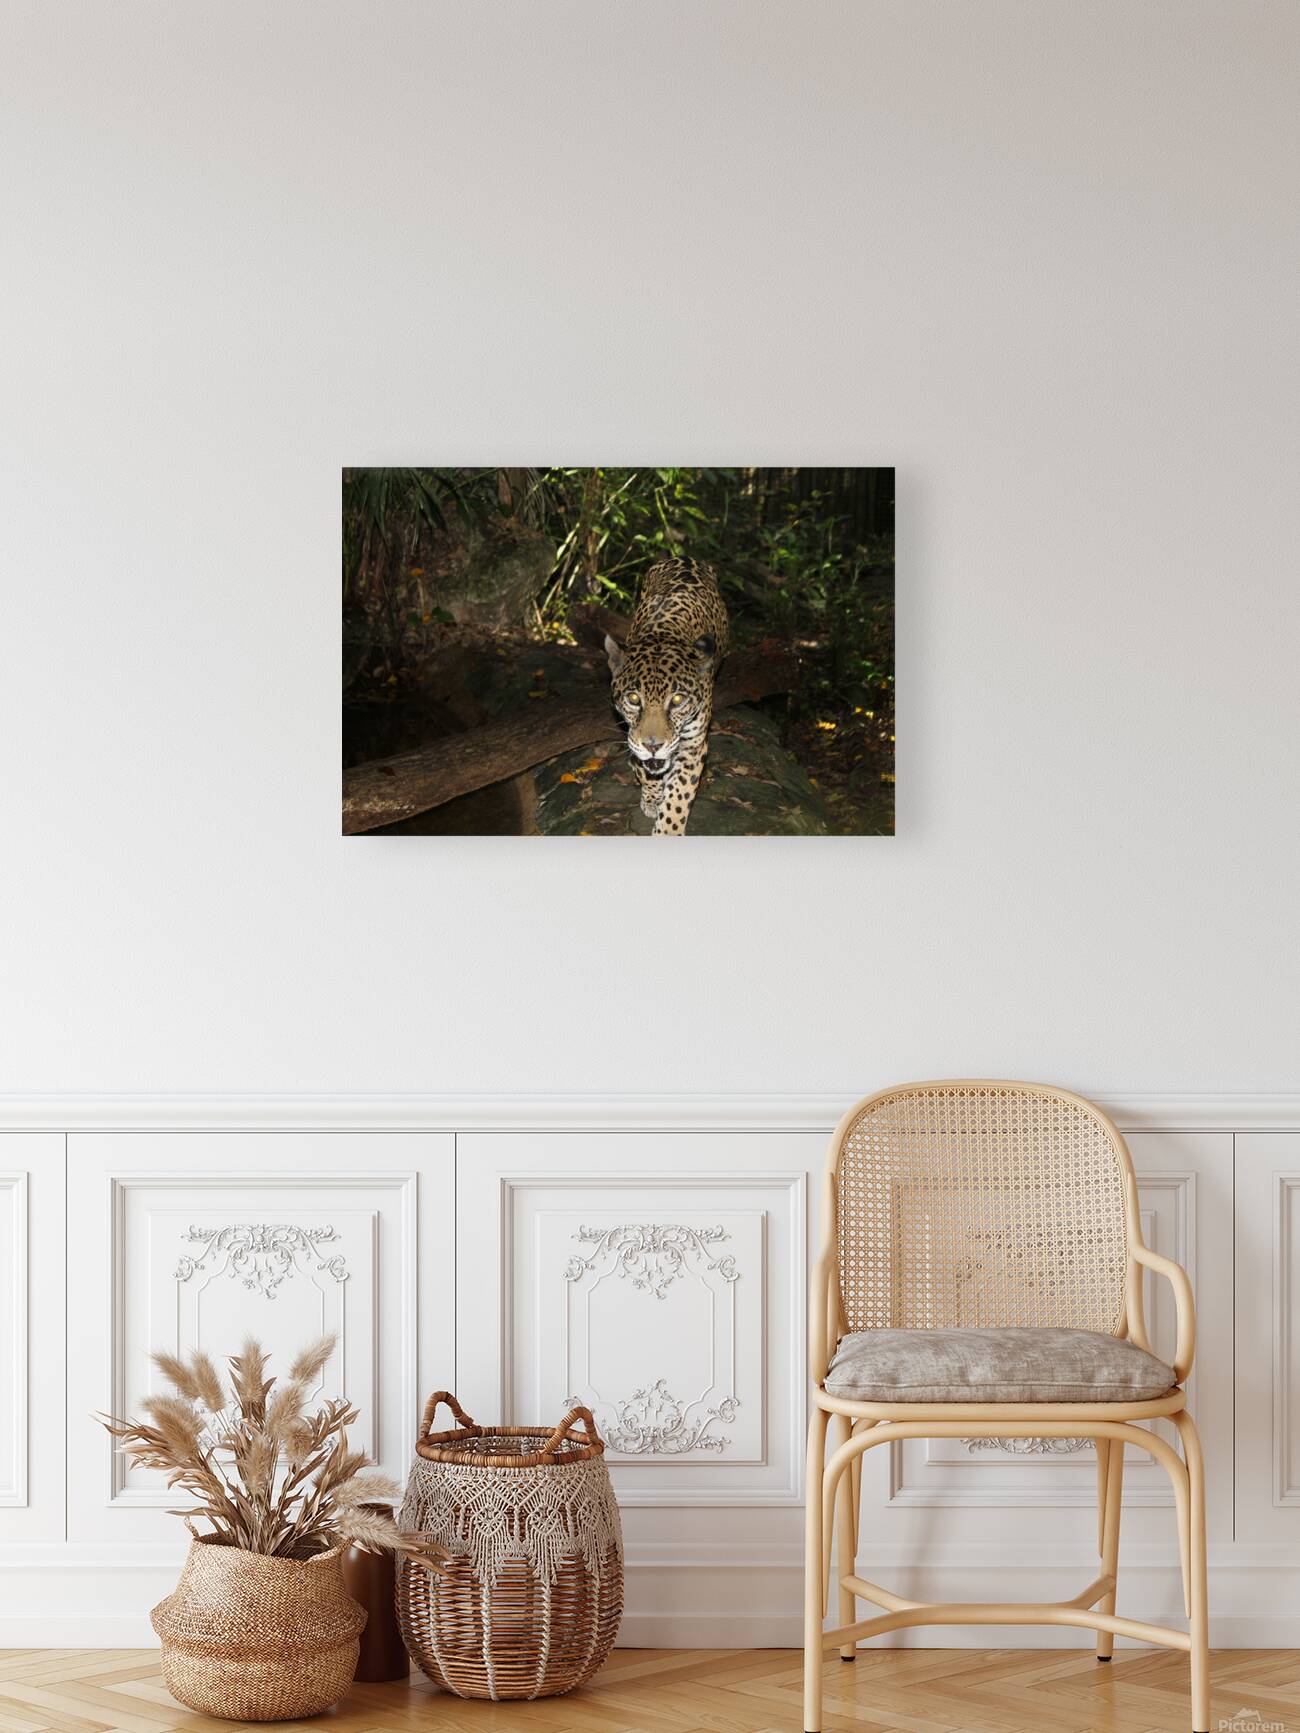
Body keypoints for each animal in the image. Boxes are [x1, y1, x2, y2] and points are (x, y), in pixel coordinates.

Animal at [604, 557, 730, 836]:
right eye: (633, 699)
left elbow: (679, 796)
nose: (653, 746)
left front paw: (668, 830)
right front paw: (652, 796)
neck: (664, 633)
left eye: (677, 701)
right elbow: (648, 768)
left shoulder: (693, 745)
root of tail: (684, 557)